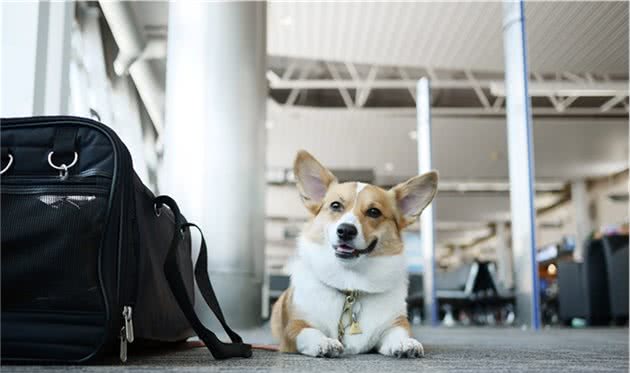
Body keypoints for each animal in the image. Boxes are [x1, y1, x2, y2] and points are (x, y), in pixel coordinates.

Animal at [272, 150, 440, 356]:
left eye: (374, 212)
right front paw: (324, 342)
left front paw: (405, 343)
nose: (346, 230)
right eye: (335, 206)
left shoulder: (395, 323)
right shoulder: (294, 329)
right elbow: (310, 332)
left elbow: (398, 333)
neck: (350, 285)